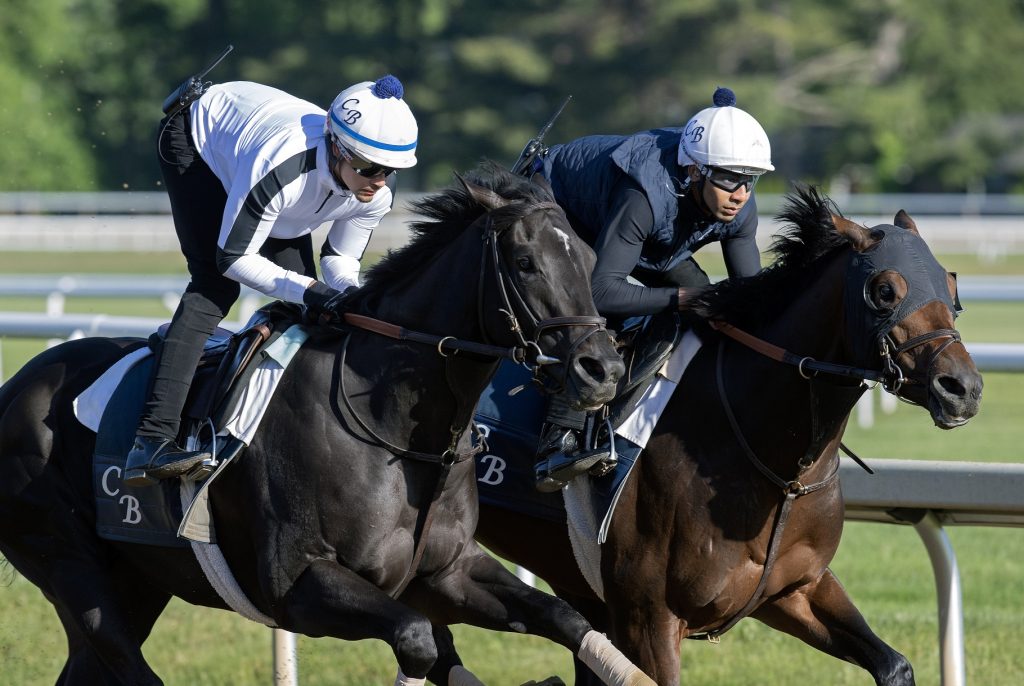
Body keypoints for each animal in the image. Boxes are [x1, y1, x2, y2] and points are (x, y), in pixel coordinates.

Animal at [0, 163, 655, 683]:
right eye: (525, 262)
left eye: (591, 261)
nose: (602, 369)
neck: (397, 433)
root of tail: (15, 387)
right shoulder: (301, 585)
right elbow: (418, 641)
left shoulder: (448, 571)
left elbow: (564, 616)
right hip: (67, 561)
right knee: (121, 658)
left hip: (139, 576)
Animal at [473, 185, 983, 683]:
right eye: (884, 290)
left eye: (951, 285)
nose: (963, 388)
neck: (778, 468)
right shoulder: (647, 619)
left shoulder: (794, 589)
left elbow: (894, 664)